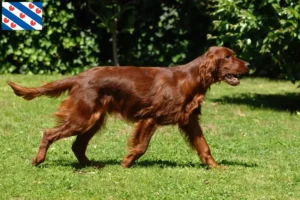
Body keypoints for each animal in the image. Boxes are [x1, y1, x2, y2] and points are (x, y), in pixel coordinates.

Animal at [8, 46, 250, 168]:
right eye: (228, 57)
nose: (248, 64)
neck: (190, 79)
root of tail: (79, 77)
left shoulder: (190, 121)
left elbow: (204, 147)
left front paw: (217, 167)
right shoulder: (151, 117)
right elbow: (141, 146)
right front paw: (126, 162)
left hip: (94, 120)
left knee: (77, 146)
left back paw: (92, 165)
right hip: (83, 118)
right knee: (49, 133)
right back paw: (39, 160)